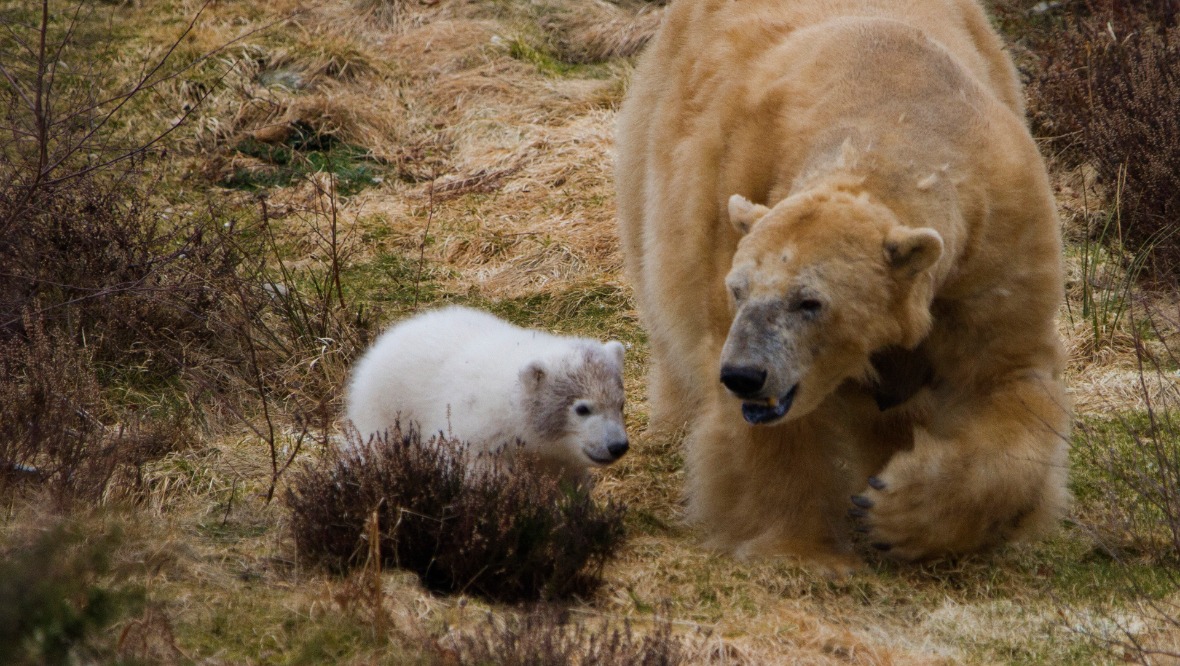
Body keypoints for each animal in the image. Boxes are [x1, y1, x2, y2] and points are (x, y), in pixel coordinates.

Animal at [618, 1, 1071, 571]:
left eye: (810, 302)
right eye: (738, 289)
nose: (743, 375)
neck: (895, 113)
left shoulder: (994, 239)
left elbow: (1006, 376)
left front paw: (896, 512)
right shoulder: (740, 185)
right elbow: (773, 428)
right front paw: (802, 551)